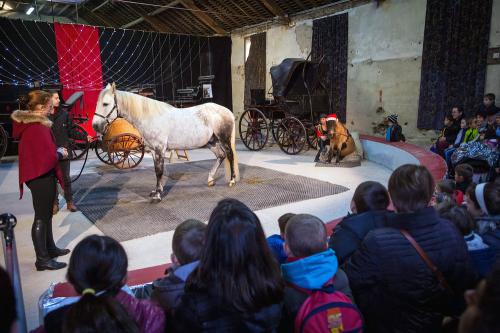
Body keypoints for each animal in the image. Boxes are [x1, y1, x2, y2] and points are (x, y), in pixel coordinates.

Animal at [94, 84, 242, 201]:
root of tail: (226, 111)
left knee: (230, 155)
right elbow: (156, 170)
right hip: (211, 142)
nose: (95, 126)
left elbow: (159, 171)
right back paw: (210, 179)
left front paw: (158, 196)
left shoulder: (160, 149)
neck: (150, 117)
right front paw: (156, 191)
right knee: (221, 156)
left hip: (223, 139)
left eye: (105, 104)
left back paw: (232, 180)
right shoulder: (153, 150)